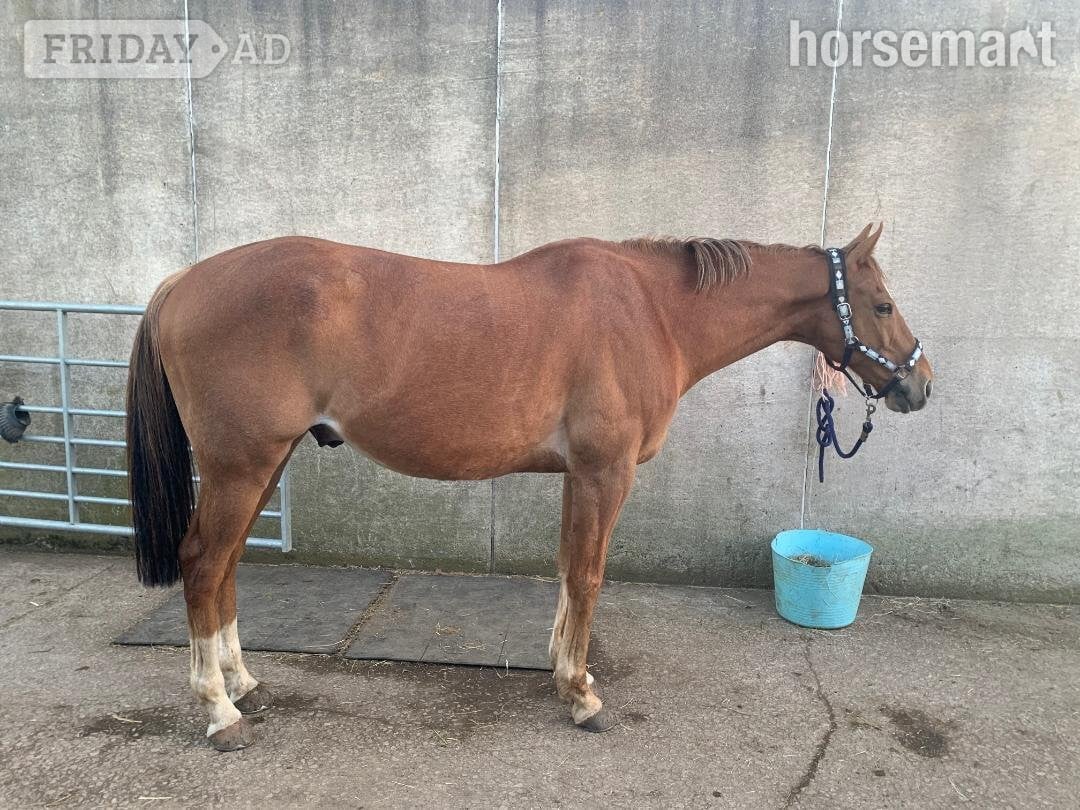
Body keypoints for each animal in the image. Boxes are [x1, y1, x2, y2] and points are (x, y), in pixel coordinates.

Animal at [125, 222, 932, 750]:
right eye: (883, 305)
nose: (921, 385)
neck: (651, 311)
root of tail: (182, 283)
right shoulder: (607, 473)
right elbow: (591, 574)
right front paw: (581, 696)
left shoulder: (580, 476)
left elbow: (569, 570)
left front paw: (564, 668)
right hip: (242, 464)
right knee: (203, 563)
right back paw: (219, 712)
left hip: (264, 463)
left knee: (226, 566)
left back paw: (242, 683)